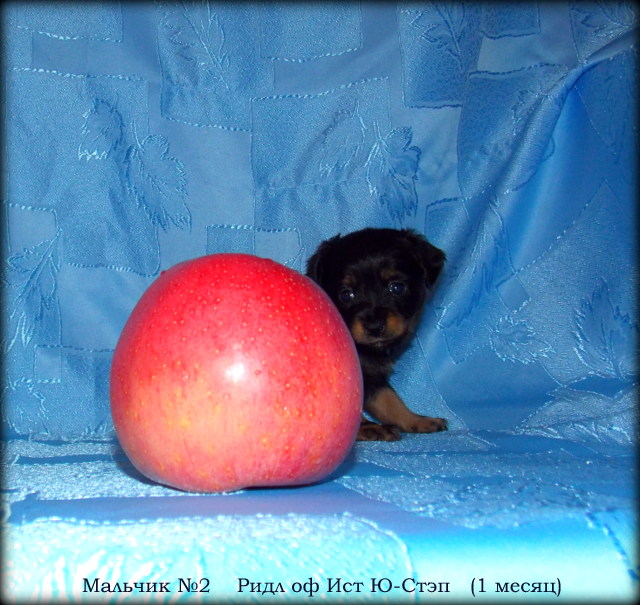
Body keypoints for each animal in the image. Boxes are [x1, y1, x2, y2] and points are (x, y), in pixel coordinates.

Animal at [306, 228, 448, 441]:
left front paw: (418, 420)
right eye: (346, 294)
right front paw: (368, 428)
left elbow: (390, 401)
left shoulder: (372, 376)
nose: (374, 327)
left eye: (396, 287)